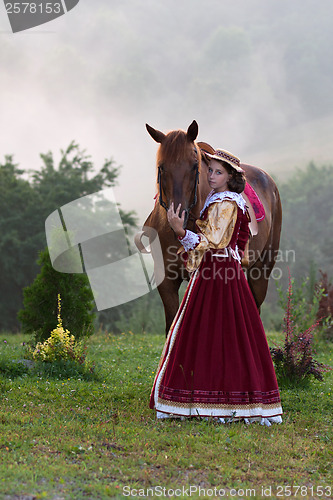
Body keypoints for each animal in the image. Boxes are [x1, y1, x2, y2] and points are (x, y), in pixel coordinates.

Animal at [135, 120, 280, 336]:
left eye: (194, 166)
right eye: (162, 167)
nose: (178, 215)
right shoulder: (166, 280)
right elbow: (172, 325)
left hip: (261, 271)